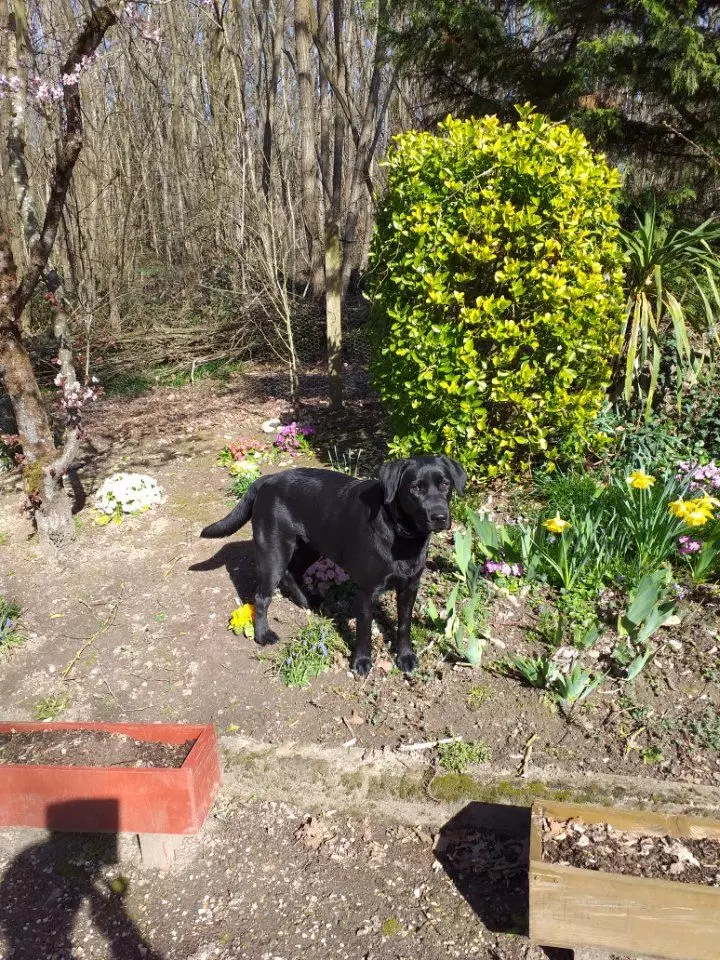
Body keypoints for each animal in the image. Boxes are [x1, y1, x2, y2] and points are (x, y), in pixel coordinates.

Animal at [200, 456, 464, 676]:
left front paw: (406, 656)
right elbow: (364, 630)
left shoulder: (410, 586)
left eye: (445, 484)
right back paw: (263, 635)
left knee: (292, 573)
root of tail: (267, 479)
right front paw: (361, 662)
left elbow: (404, 624)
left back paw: (307, 601)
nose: (440, 516)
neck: (401, 535)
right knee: (262, 596)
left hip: (311, 546)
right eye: (415, 488)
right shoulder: (367, 591)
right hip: (273, 553)